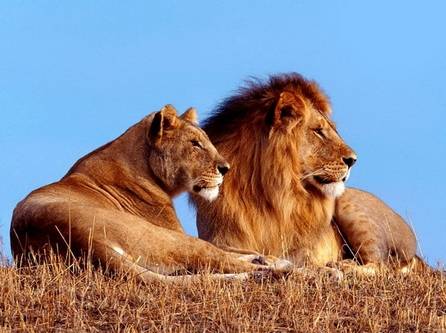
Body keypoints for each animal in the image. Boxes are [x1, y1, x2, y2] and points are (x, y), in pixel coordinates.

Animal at [11, 105, 290, 282]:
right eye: (195, 144)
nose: (226, 168)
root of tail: (81, 239)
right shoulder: (175, 230)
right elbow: (229, 250)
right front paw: (267, 260)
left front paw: (262, 257)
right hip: (168, 239)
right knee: (216, 259)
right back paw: (279, 269)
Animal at [191, 73, 418, 272]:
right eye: (318, 131)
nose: (353, 160)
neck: (266, 194)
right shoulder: (216, 237)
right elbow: (226, 250)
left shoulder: (303, 248)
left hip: (350, 205)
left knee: (380, 266)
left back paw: (343, 266)